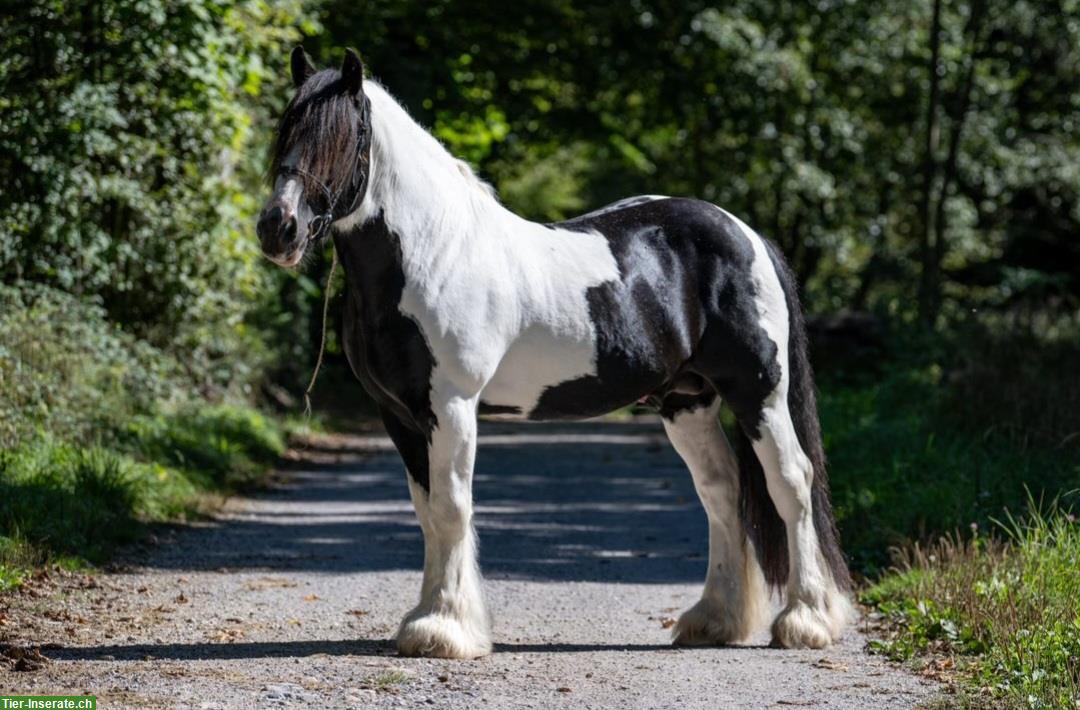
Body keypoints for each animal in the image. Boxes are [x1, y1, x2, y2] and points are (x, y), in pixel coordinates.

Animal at [254, 48, 851, 657]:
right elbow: (426, 512)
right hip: (687, 401)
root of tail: (746, 234)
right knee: (721, 491)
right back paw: (714, 621)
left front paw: (445, 628)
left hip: (758, 393)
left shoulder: (452, 407)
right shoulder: (398, 414)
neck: (433, 253)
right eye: (287, 131)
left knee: (791, 483)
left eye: (342, 137)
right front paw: (426, 619)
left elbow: (451, 508)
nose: (279, 228)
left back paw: (806, 620)